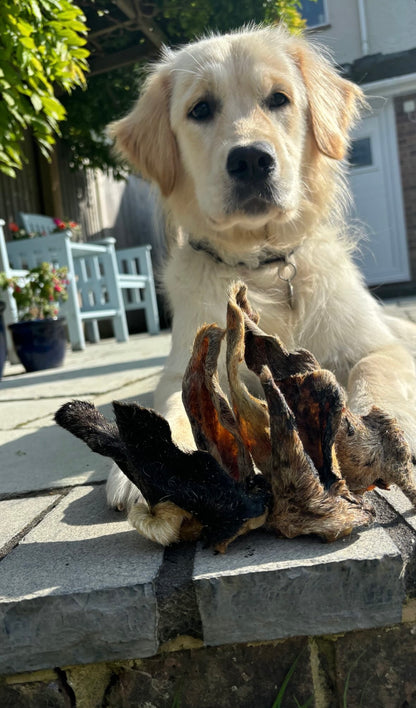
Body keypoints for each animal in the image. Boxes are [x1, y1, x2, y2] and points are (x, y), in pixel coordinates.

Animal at [105, 22, 416, 508]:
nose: (251, 159)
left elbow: (375, 370)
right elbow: (175, 402)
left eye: (278, 99)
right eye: (200, 109)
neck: (261, 265)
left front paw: (376, 435)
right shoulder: (184, 368)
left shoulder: (377, 348)